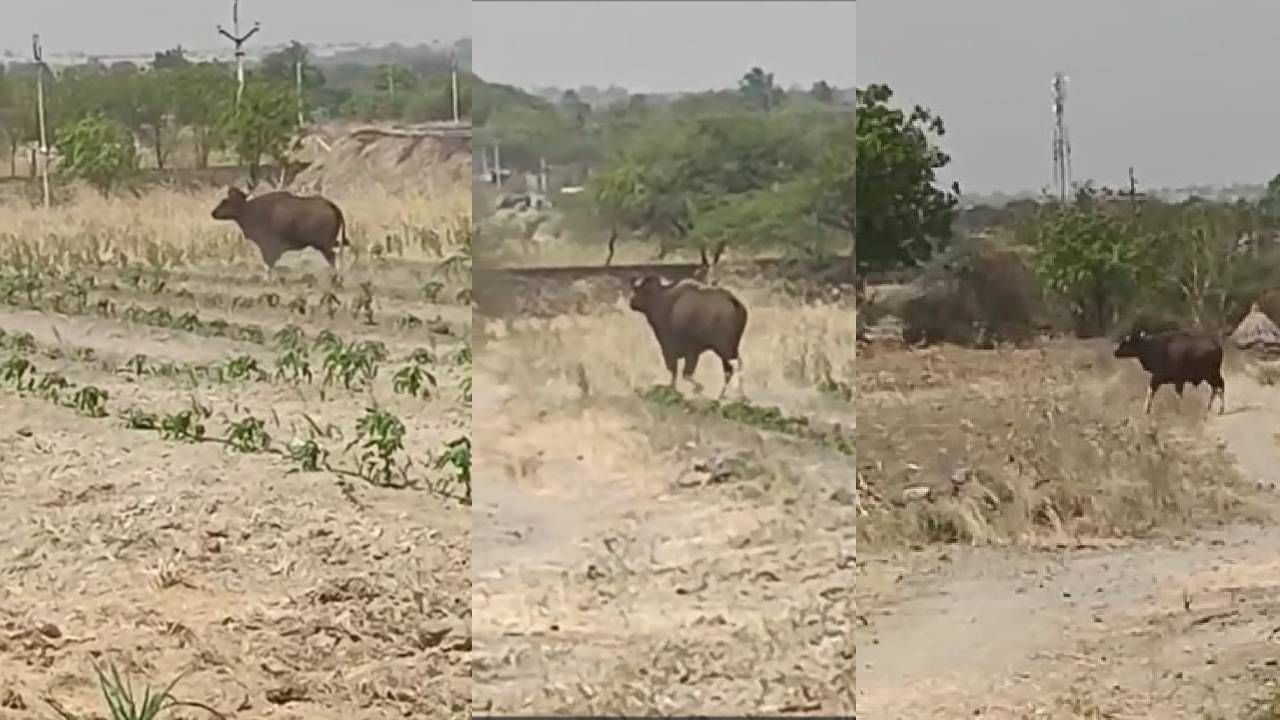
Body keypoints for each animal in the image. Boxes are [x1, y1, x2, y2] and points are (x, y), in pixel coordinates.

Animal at [209, 185, 350, 275]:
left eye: (225, 201)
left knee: (333, 257)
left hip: (324, 245)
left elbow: (268, 263)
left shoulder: (268, 245)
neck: (250, 209)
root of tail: (331, 205)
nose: (213, 213)